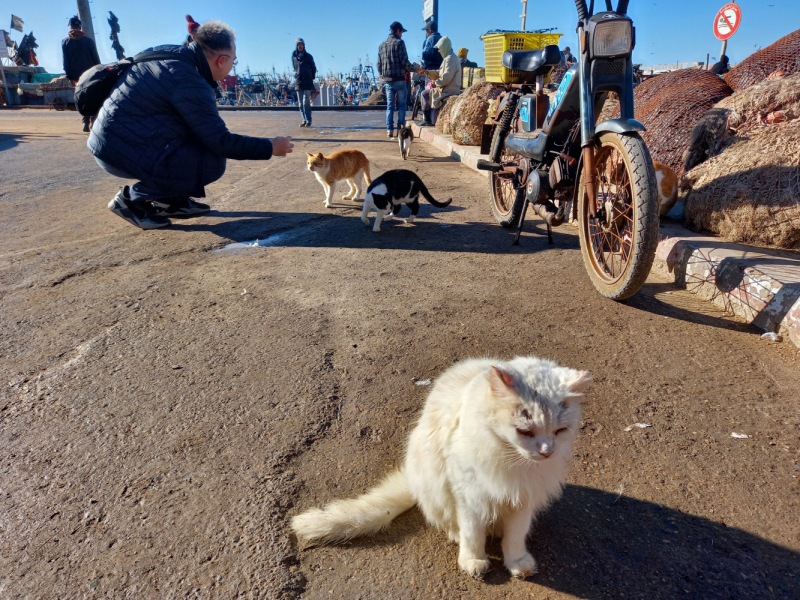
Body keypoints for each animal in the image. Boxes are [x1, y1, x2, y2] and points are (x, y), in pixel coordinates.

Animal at [290, 354, 592, 580]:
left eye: (560, 431)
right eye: (525, 432)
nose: (546, 452)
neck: (513, 460)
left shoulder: (523, 498)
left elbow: (515, 537)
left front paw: (517, 563)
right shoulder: (470, 496)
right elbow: (472, 533)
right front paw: (473, 561)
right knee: (450, 523)